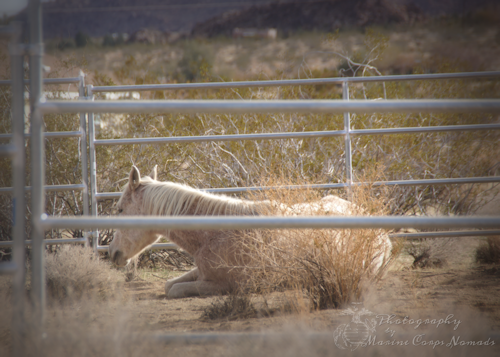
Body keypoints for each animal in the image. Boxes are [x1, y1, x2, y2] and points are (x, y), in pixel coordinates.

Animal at [110, 165, 394, 298]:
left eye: (120, 209)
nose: (112, 253)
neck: (215, 233)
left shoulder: (223, 285)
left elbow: (174, 290)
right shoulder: (201, 272)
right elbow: (169, 284)